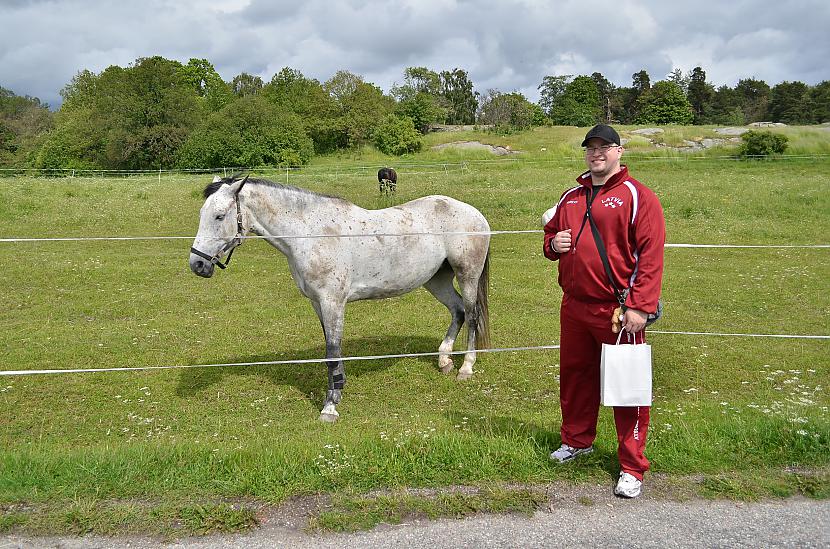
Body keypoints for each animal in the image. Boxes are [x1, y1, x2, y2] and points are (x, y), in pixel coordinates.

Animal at [192, 174, 490, 420]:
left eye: (219, 216)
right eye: (203, 214)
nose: (197, 264)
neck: (310, 233)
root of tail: (475, 213)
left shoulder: (332, 302)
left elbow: (332, 351)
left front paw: (330, 407)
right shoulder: (317, 303)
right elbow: (331, 348)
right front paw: (338, 388)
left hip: (467, 276)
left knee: (471, 315)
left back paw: (466, 368)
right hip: (436, 280)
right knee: (458, 311)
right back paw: (444, 361)